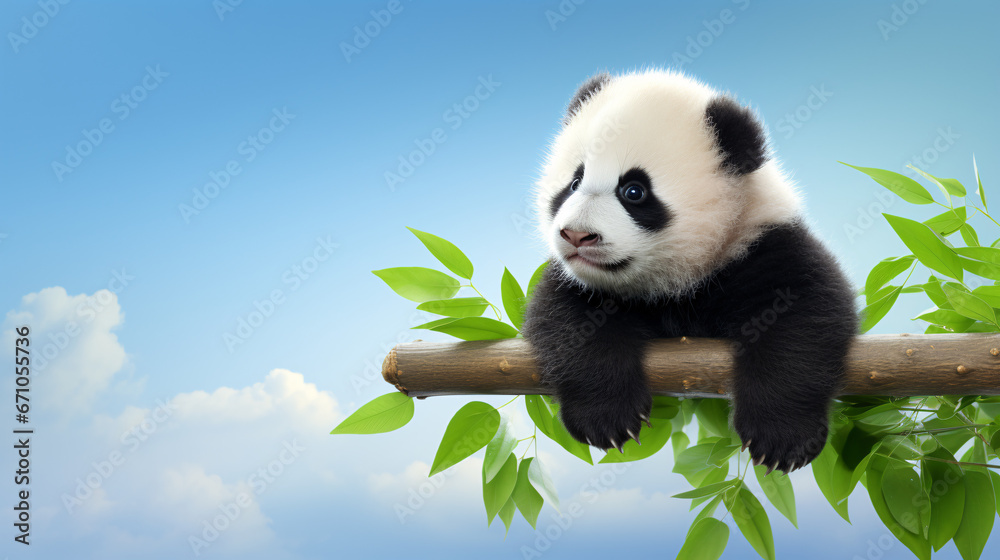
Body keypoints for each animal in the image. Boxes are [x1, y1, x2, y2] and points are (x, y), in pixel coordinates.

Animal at [521, 69, 857, 474]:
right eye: (573, 183)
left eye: (634, 191)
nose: (576, 235)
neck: (677, 281)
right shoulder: (579, 282)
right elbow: (567, 319)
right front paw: (605, 418)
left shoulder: (762, 246)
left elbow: (805, 317)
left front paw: (782, 437)